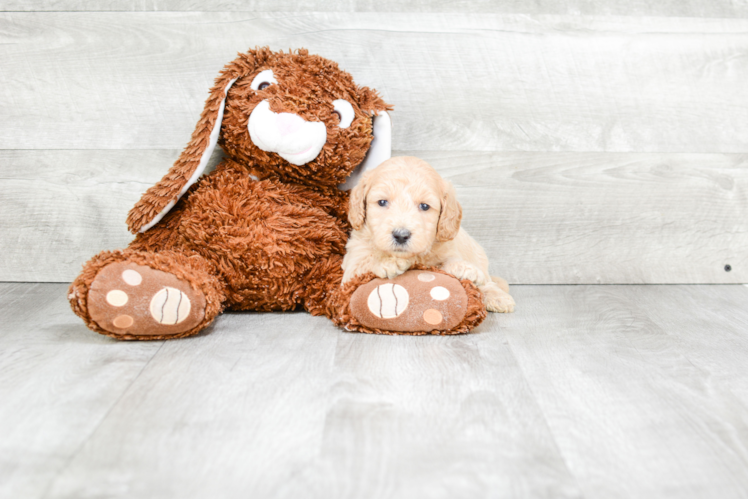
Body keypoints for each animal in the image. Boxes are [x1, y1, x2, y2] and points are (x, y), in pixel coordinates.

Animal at [344, 156, 516, 312]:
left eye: (425, 206)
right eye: (382, 202)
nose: (401, 235)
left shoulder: (448, 250)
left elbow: (446, 263)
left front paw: (465, 269)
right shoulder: (350, 269)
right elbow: (365, 263)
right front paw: (387, 262)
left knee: (488, 280)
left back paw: (497, 296)